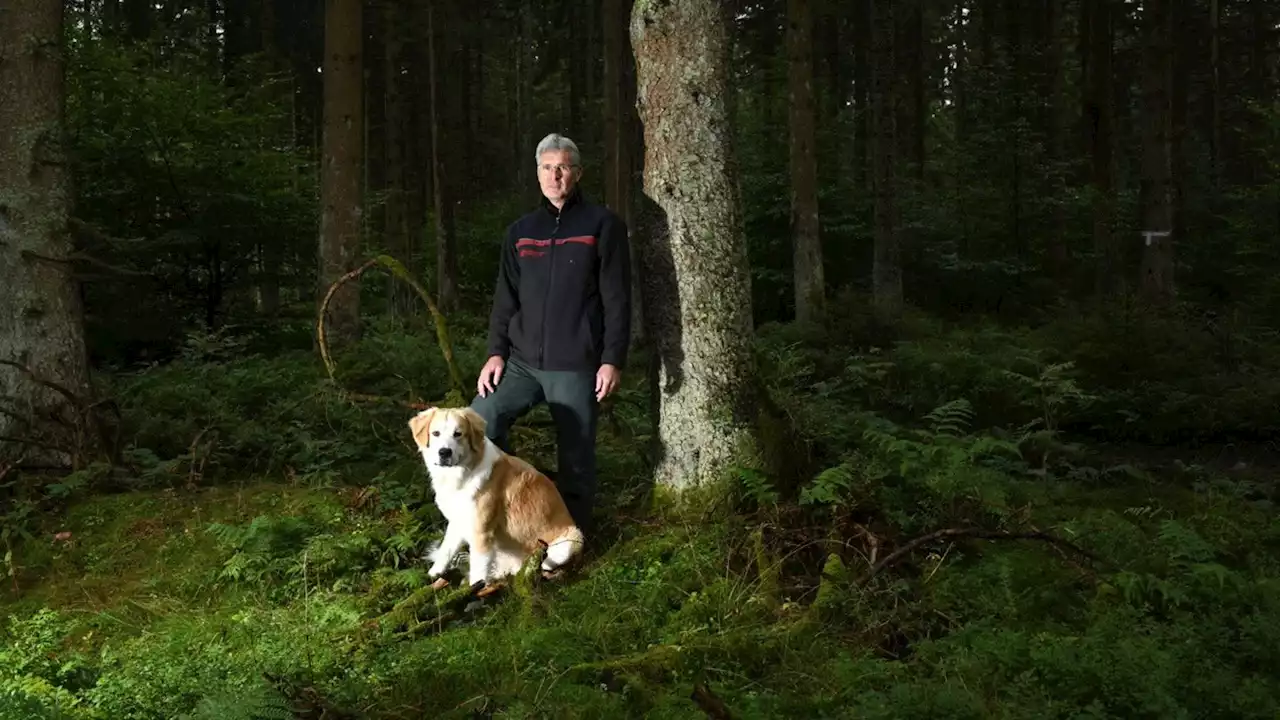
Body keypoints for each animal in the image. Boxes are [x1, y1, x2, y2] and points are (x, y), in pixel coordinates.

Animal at [409, 404, 586, 589]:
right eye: (435, 433)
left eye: (458, 434)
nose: (444, 452)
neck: (464, 472)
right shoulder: (458, 522)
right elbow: (446, 550)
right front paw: (434, 573)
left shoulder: (481, 532)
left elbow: (478, 570)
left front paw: (473, 589)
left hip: (571, 539)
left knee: (547, 563)